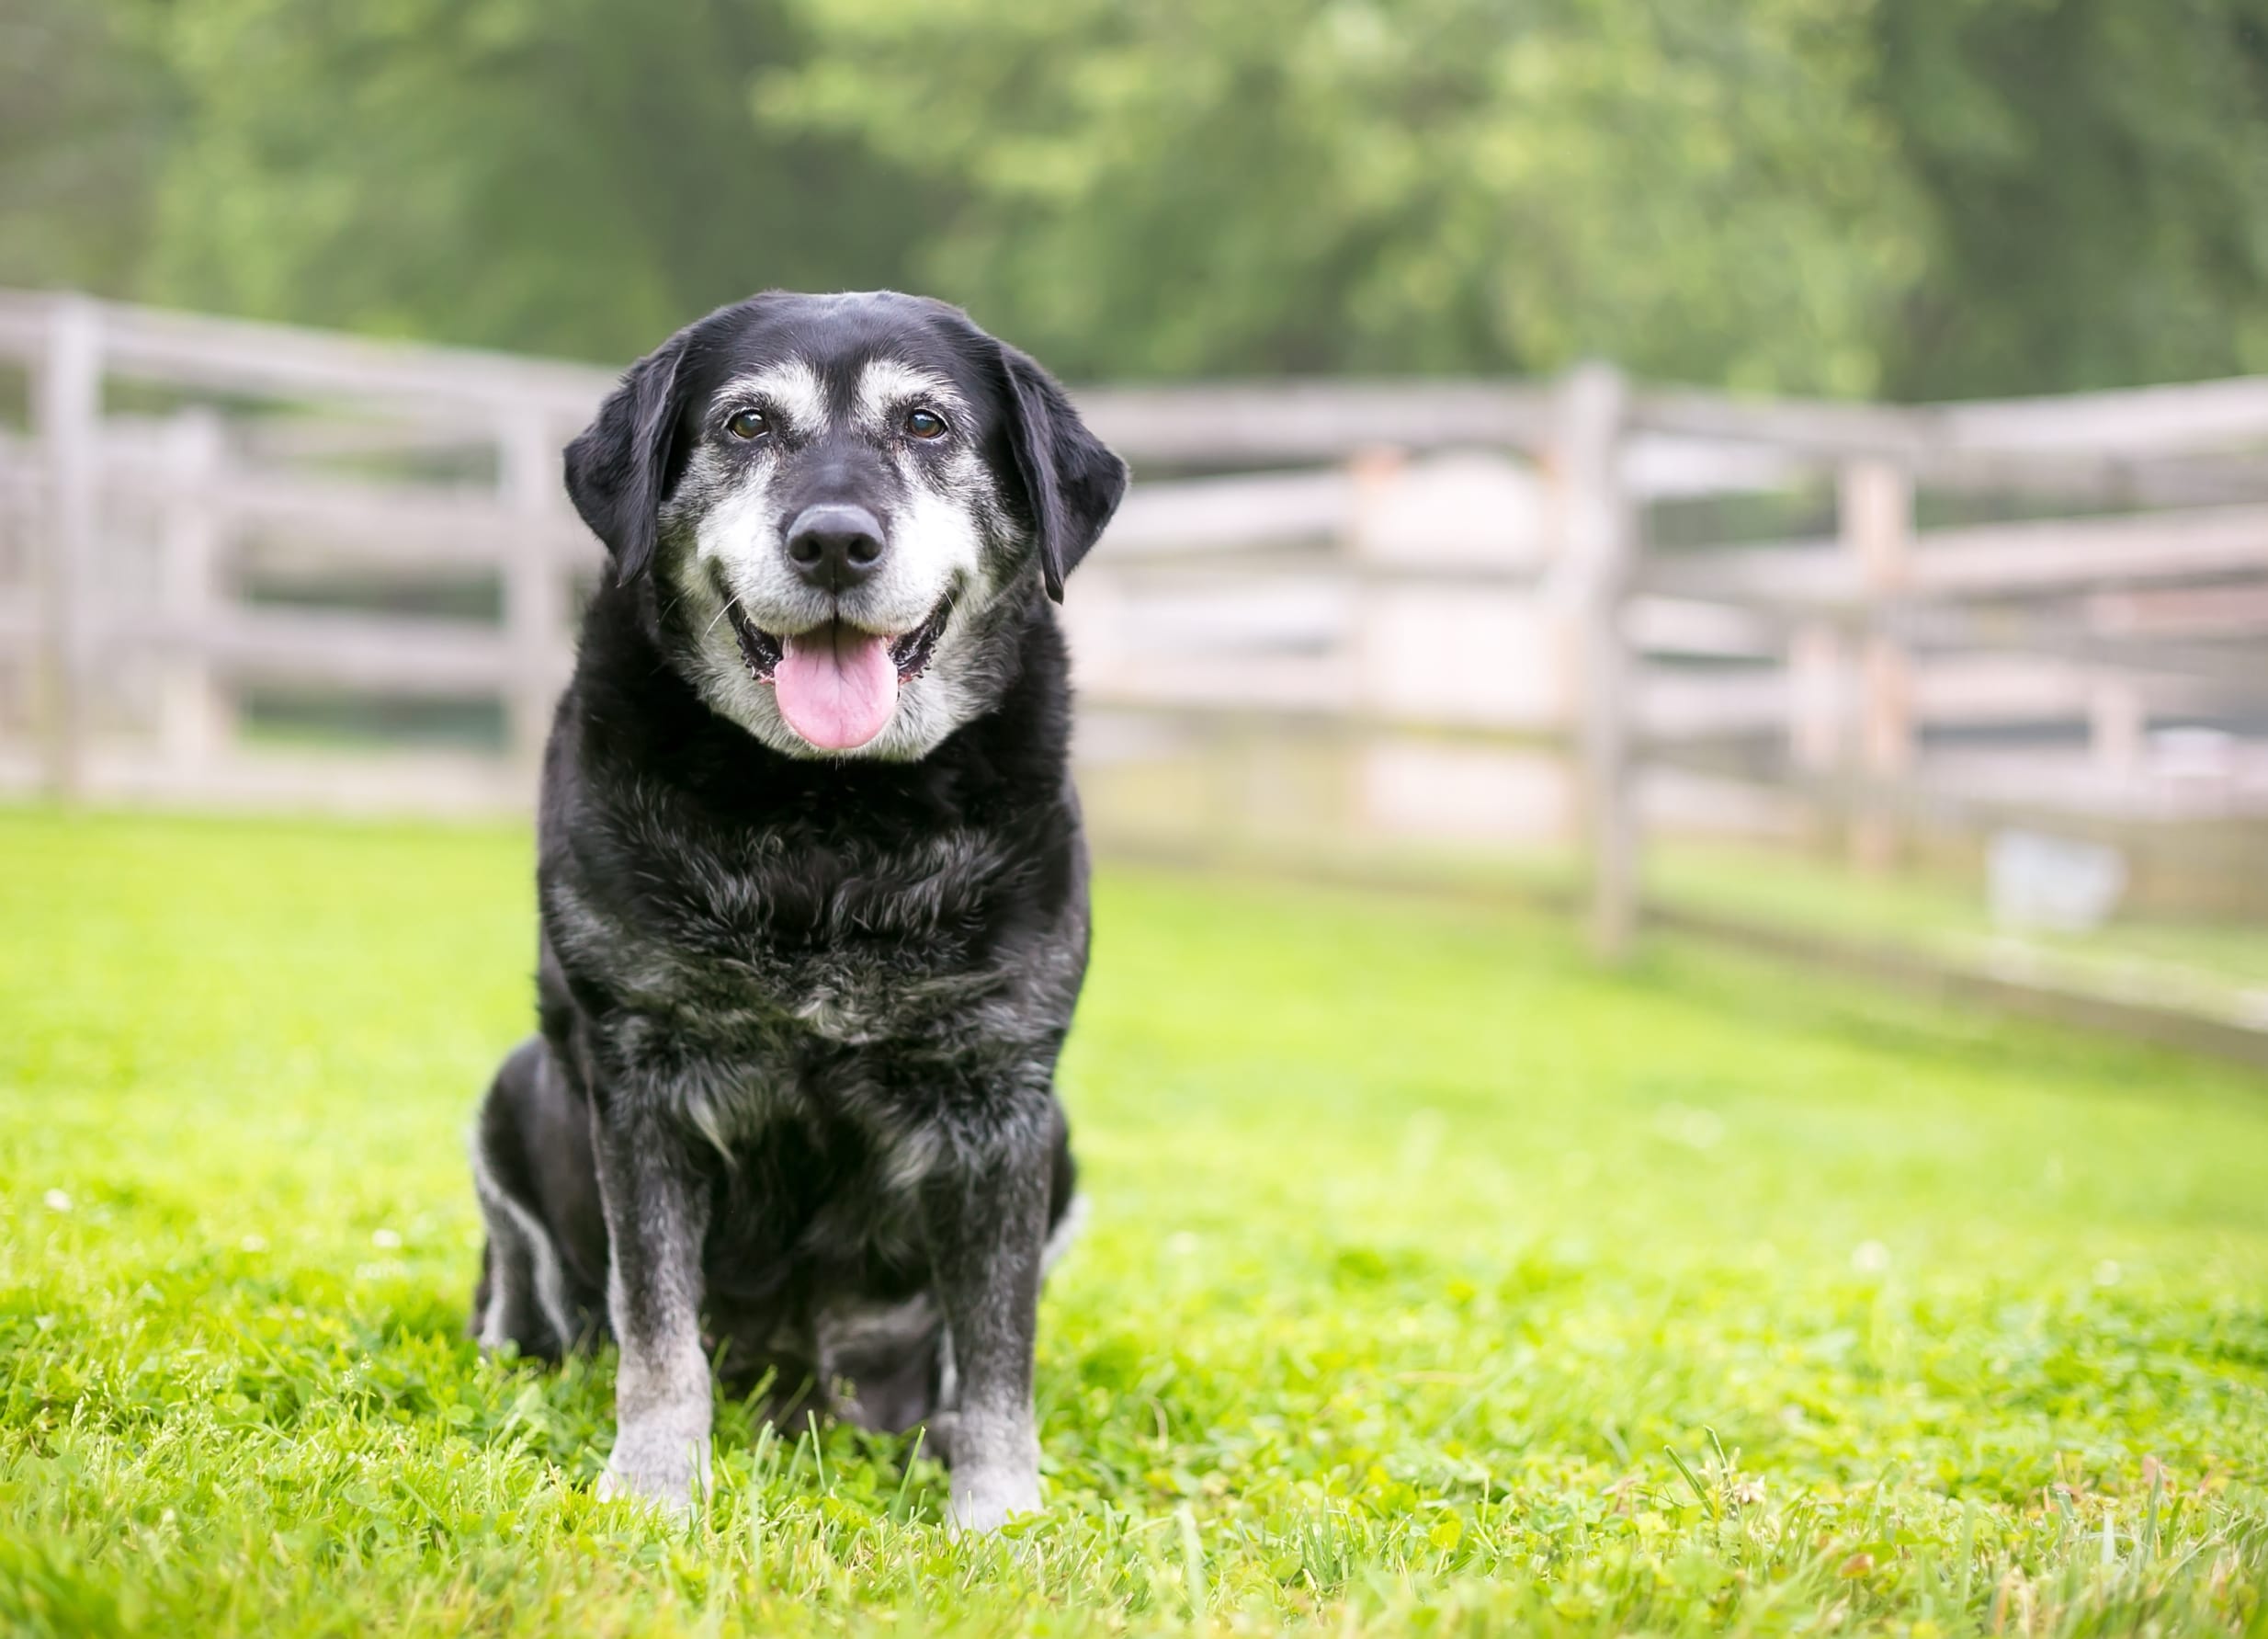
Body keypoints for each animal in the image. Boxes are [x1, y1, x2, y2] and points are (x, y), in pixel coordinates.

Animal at [467, 287, 1125, 1525]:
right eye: (746, 424)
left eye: (925, 422)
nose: (831, 540)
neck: (829, 816)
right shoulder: (643, 1077)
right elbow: (657, 1332)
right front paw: (653, 1489)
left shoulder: (1001, 1099)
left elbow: (998, 1353)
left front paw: (997, 1516)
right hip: (514, 1088)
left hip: (1057, 1142)